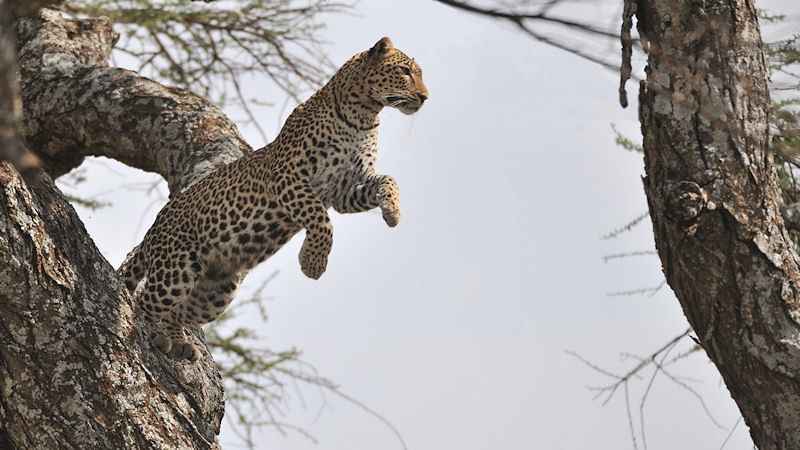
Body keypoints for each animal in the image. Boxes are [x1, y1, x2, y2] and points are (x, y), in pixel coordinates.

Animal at [120, 37, 428, 361]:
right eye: (405, 72)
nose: (424, 97)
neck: (364, 116)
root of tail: (155, 227)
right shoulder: (288, 177)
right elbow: (321, 220)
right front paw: (312, 263)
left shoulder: (347, 188)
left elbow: (388, 180)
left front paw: (392, 211)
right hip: (176, 266)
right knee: (145, 300)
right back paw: (153, 331)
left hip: (217, 290)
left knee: (178, 311)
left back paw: (178, 339)